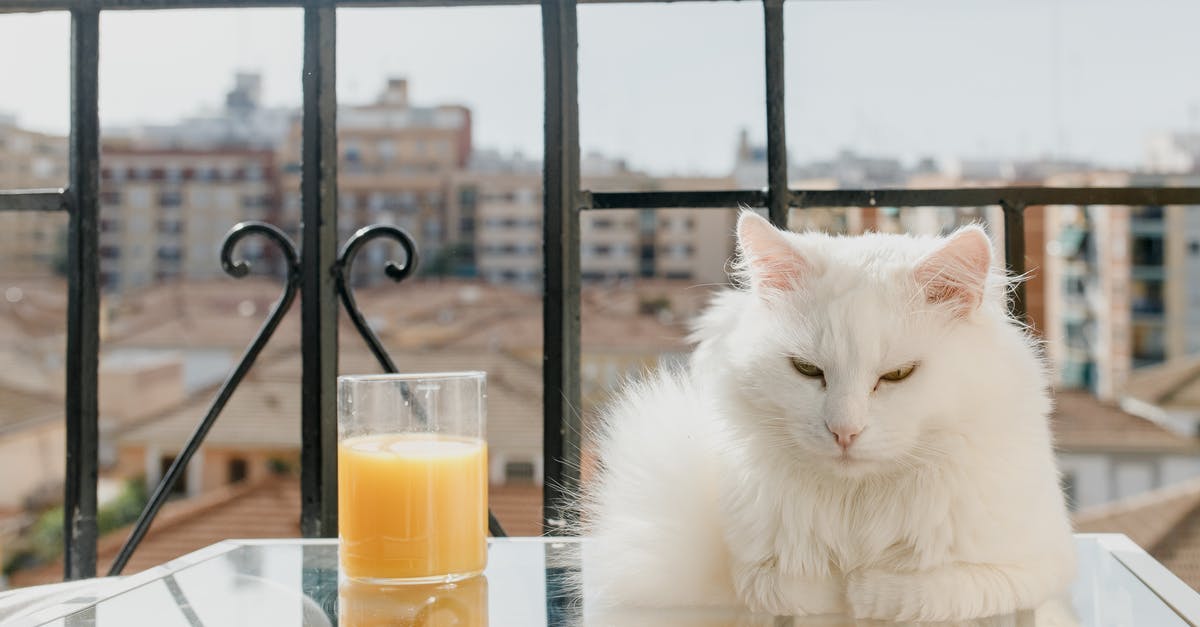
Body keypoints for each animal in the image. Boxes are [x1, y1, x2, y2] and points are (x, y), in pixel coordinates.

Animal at [576, 211, 1075, 619]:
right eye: (807, 369)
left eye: (897, 374)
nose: (844, 431)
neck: (857, 509)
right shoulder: (756, 568)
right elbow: (791, 589)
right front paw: (839, 591)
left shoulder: (1031, 567)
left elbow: (929, 591)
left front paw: (867, 593)